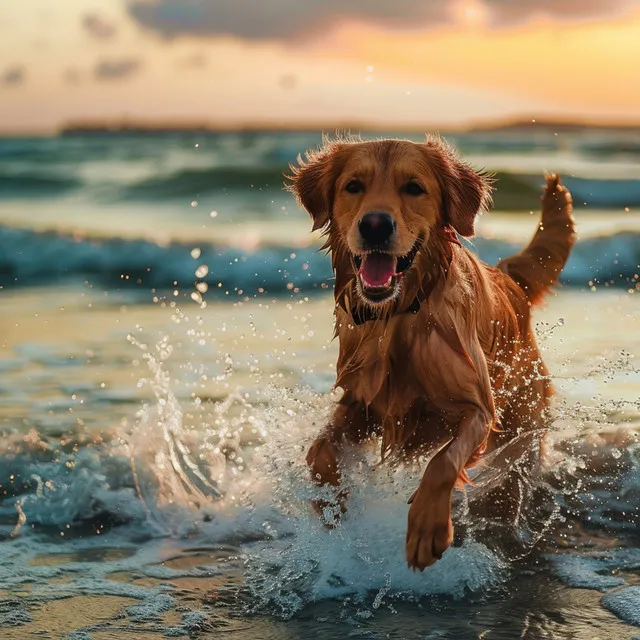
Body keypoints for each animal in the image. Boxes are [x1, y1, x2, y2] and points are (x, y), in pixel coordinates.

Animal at [284, 135, 576, 568]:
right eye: (353, 186)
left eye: (414, 188)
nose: (375, 225)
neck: (400, 316)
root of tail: (509, 280)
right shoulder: (360, 404)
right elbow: (318, 451)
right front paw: (332, 505)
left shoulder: (479, 408)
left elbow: (443, 462)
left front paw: (427, 528)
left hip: (522, 424)